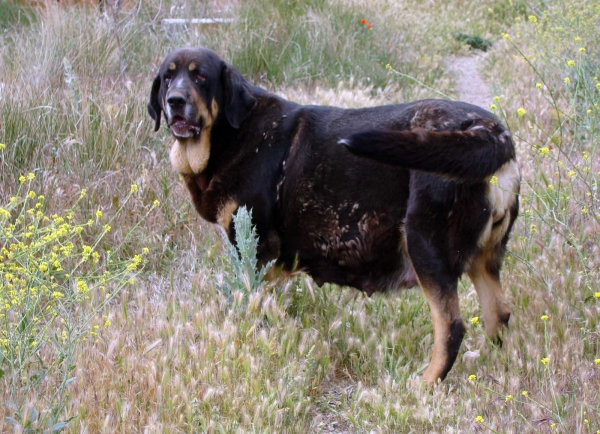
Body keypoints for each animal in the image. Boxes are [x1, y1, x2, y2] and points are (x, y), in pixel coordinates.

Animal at [148, 46, 516, 384]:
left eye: (201, 77)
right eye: (167, 77)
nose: (175, 100)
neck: (232, 134)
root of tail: (491, 130)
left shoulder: (255, 248)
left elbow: (251, 302)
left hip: (426, 247)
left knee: (451, 327)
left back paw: (423, 385)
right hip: (485, 259)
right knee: (498, 313)